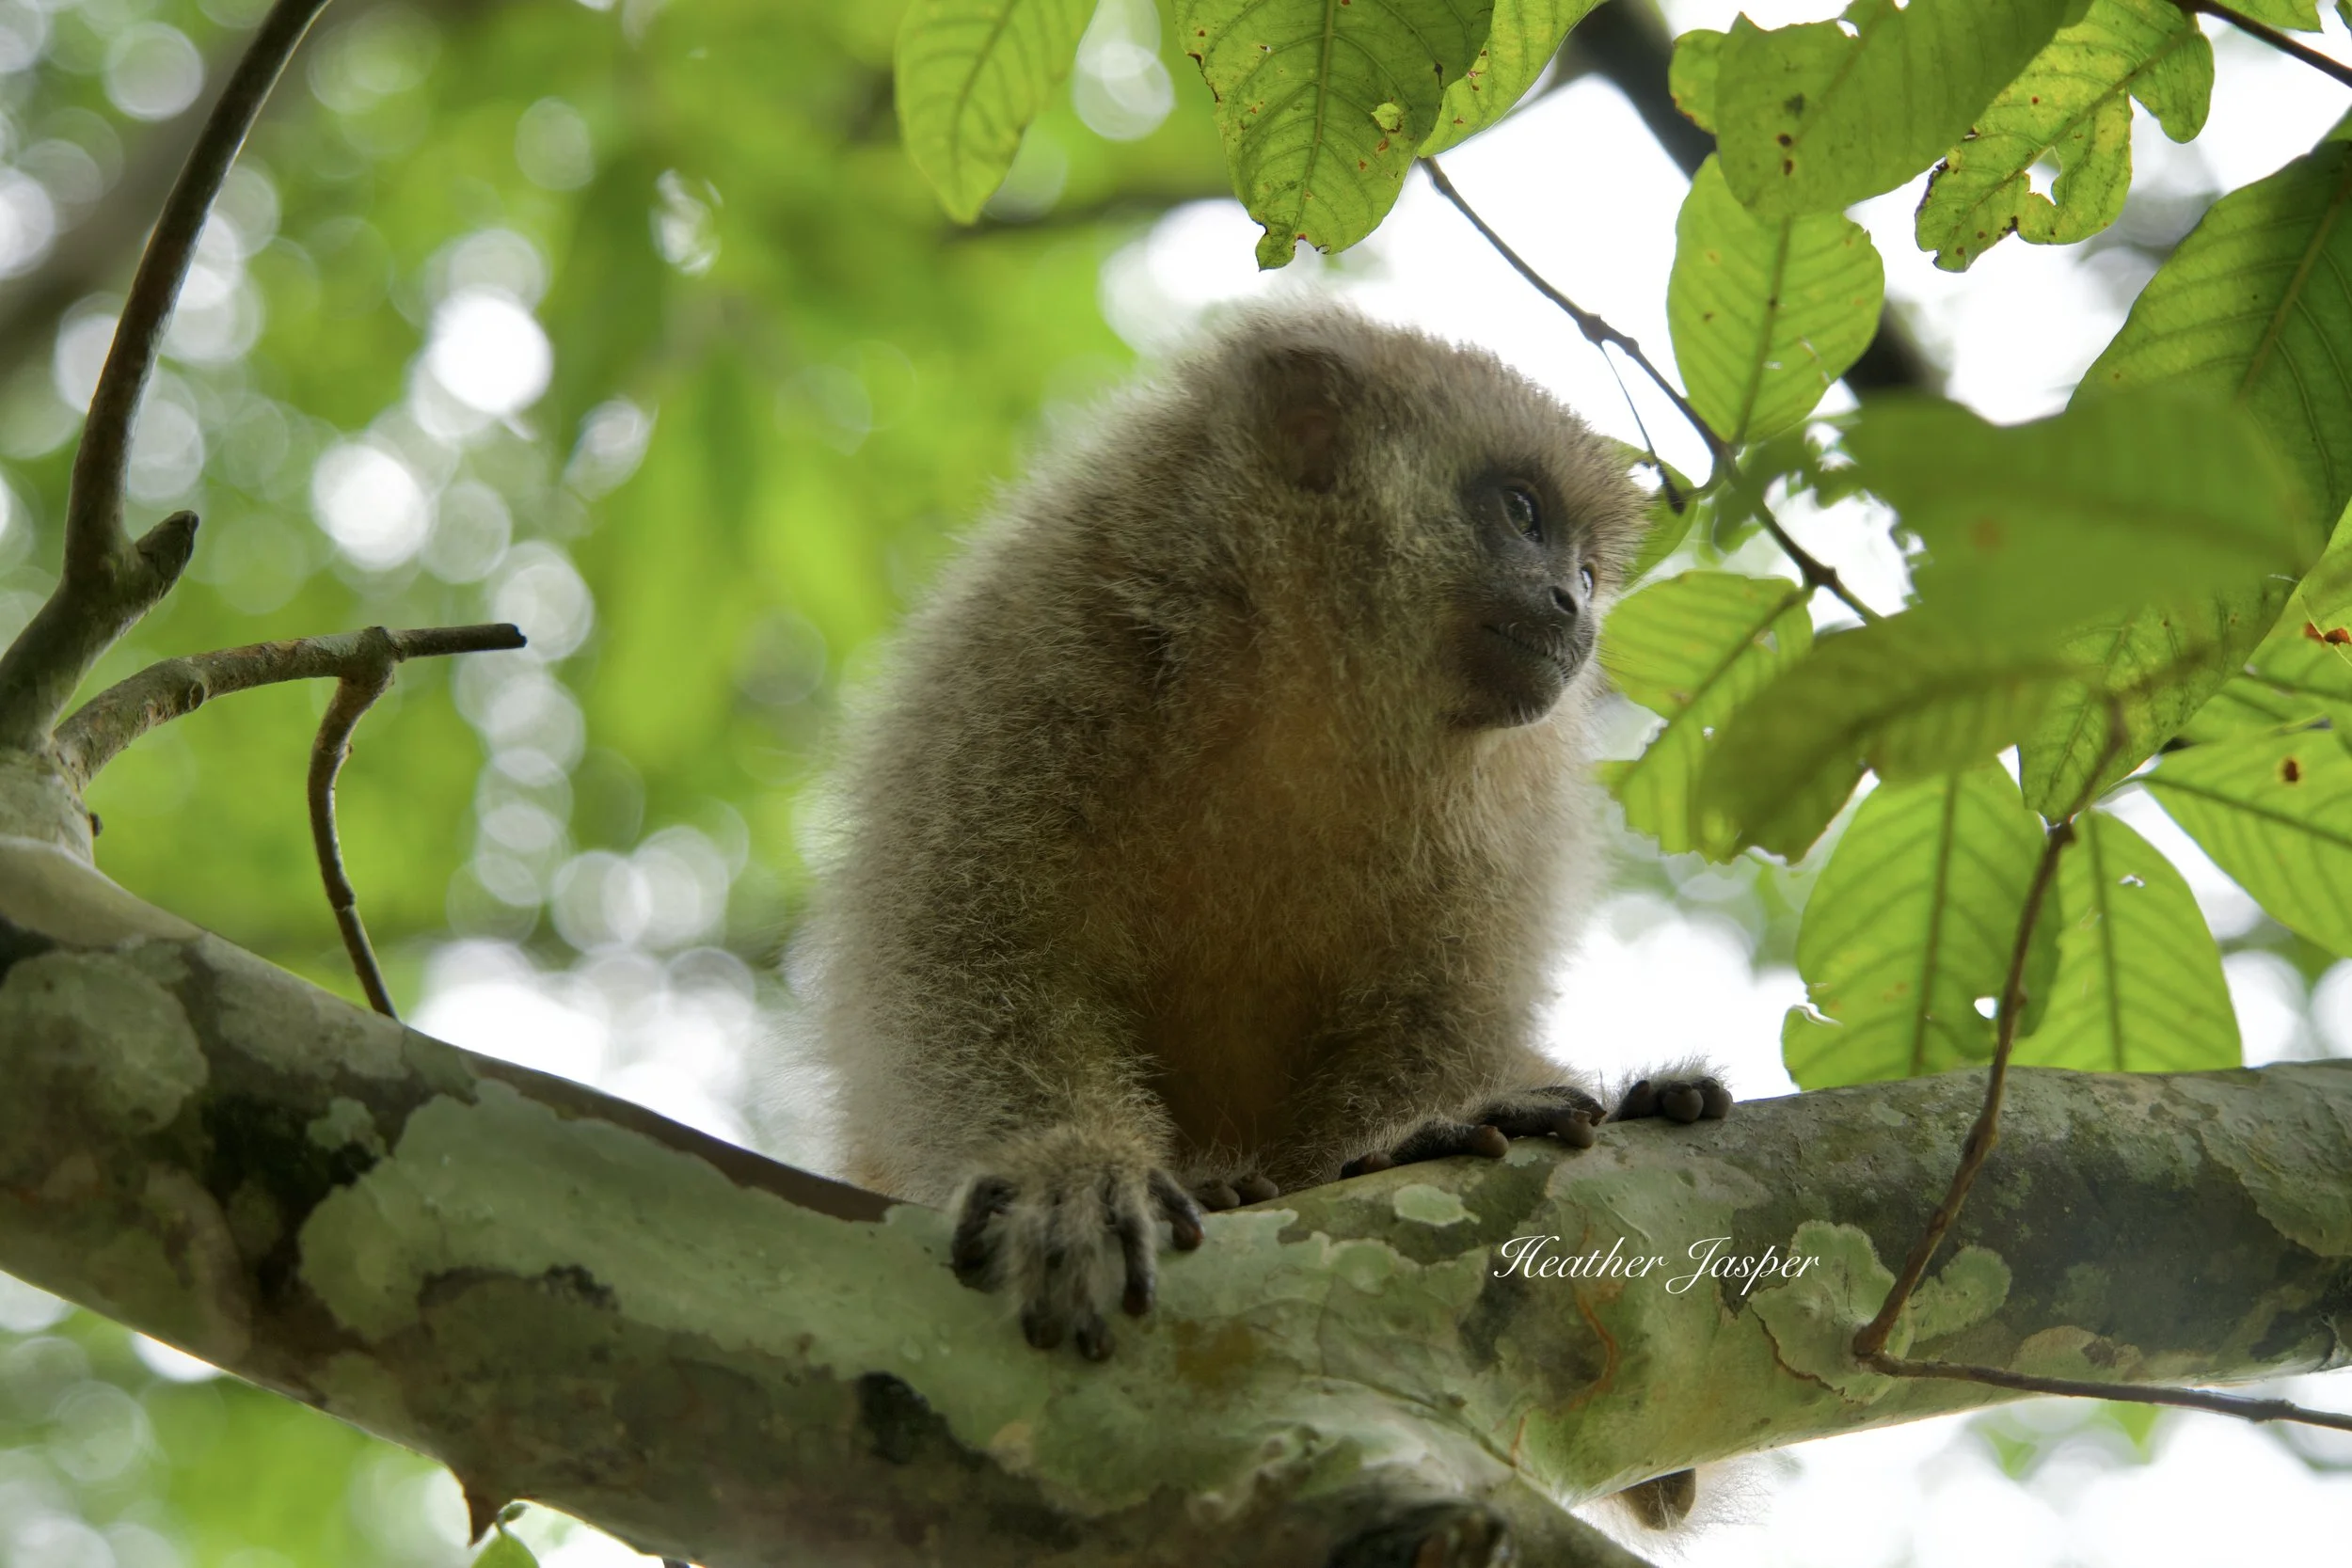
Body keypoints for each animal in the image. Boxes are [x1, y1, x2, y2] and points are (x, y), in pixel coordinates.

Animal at [802, 303, 1731, 1421]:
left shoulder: (1522, 794)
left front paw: (1416, 1127)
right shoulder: (1031, 638)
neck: (1297, 686)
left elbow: (1442, 997)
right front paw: (1068, 1170)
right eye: (1521, 511)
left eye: (1592, 569)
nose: (1573, 604)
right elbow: (964, 949)